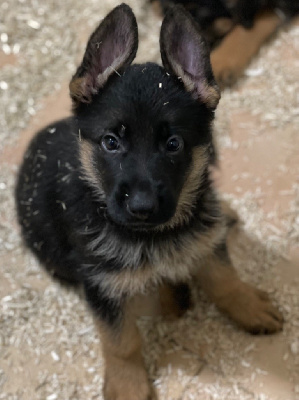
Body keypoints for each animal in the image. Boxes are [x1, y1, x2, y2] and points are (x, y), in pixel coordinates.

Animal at [15, 3, 284, 400]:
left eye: (173, 144)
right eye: (111, 142)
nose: (142, 208)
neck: (154, 237)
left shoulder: (205, 242)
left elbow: (224, 278)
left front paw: (247, 305)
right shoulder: (102, 287)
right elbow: (122, 341)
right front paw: (128, 383)